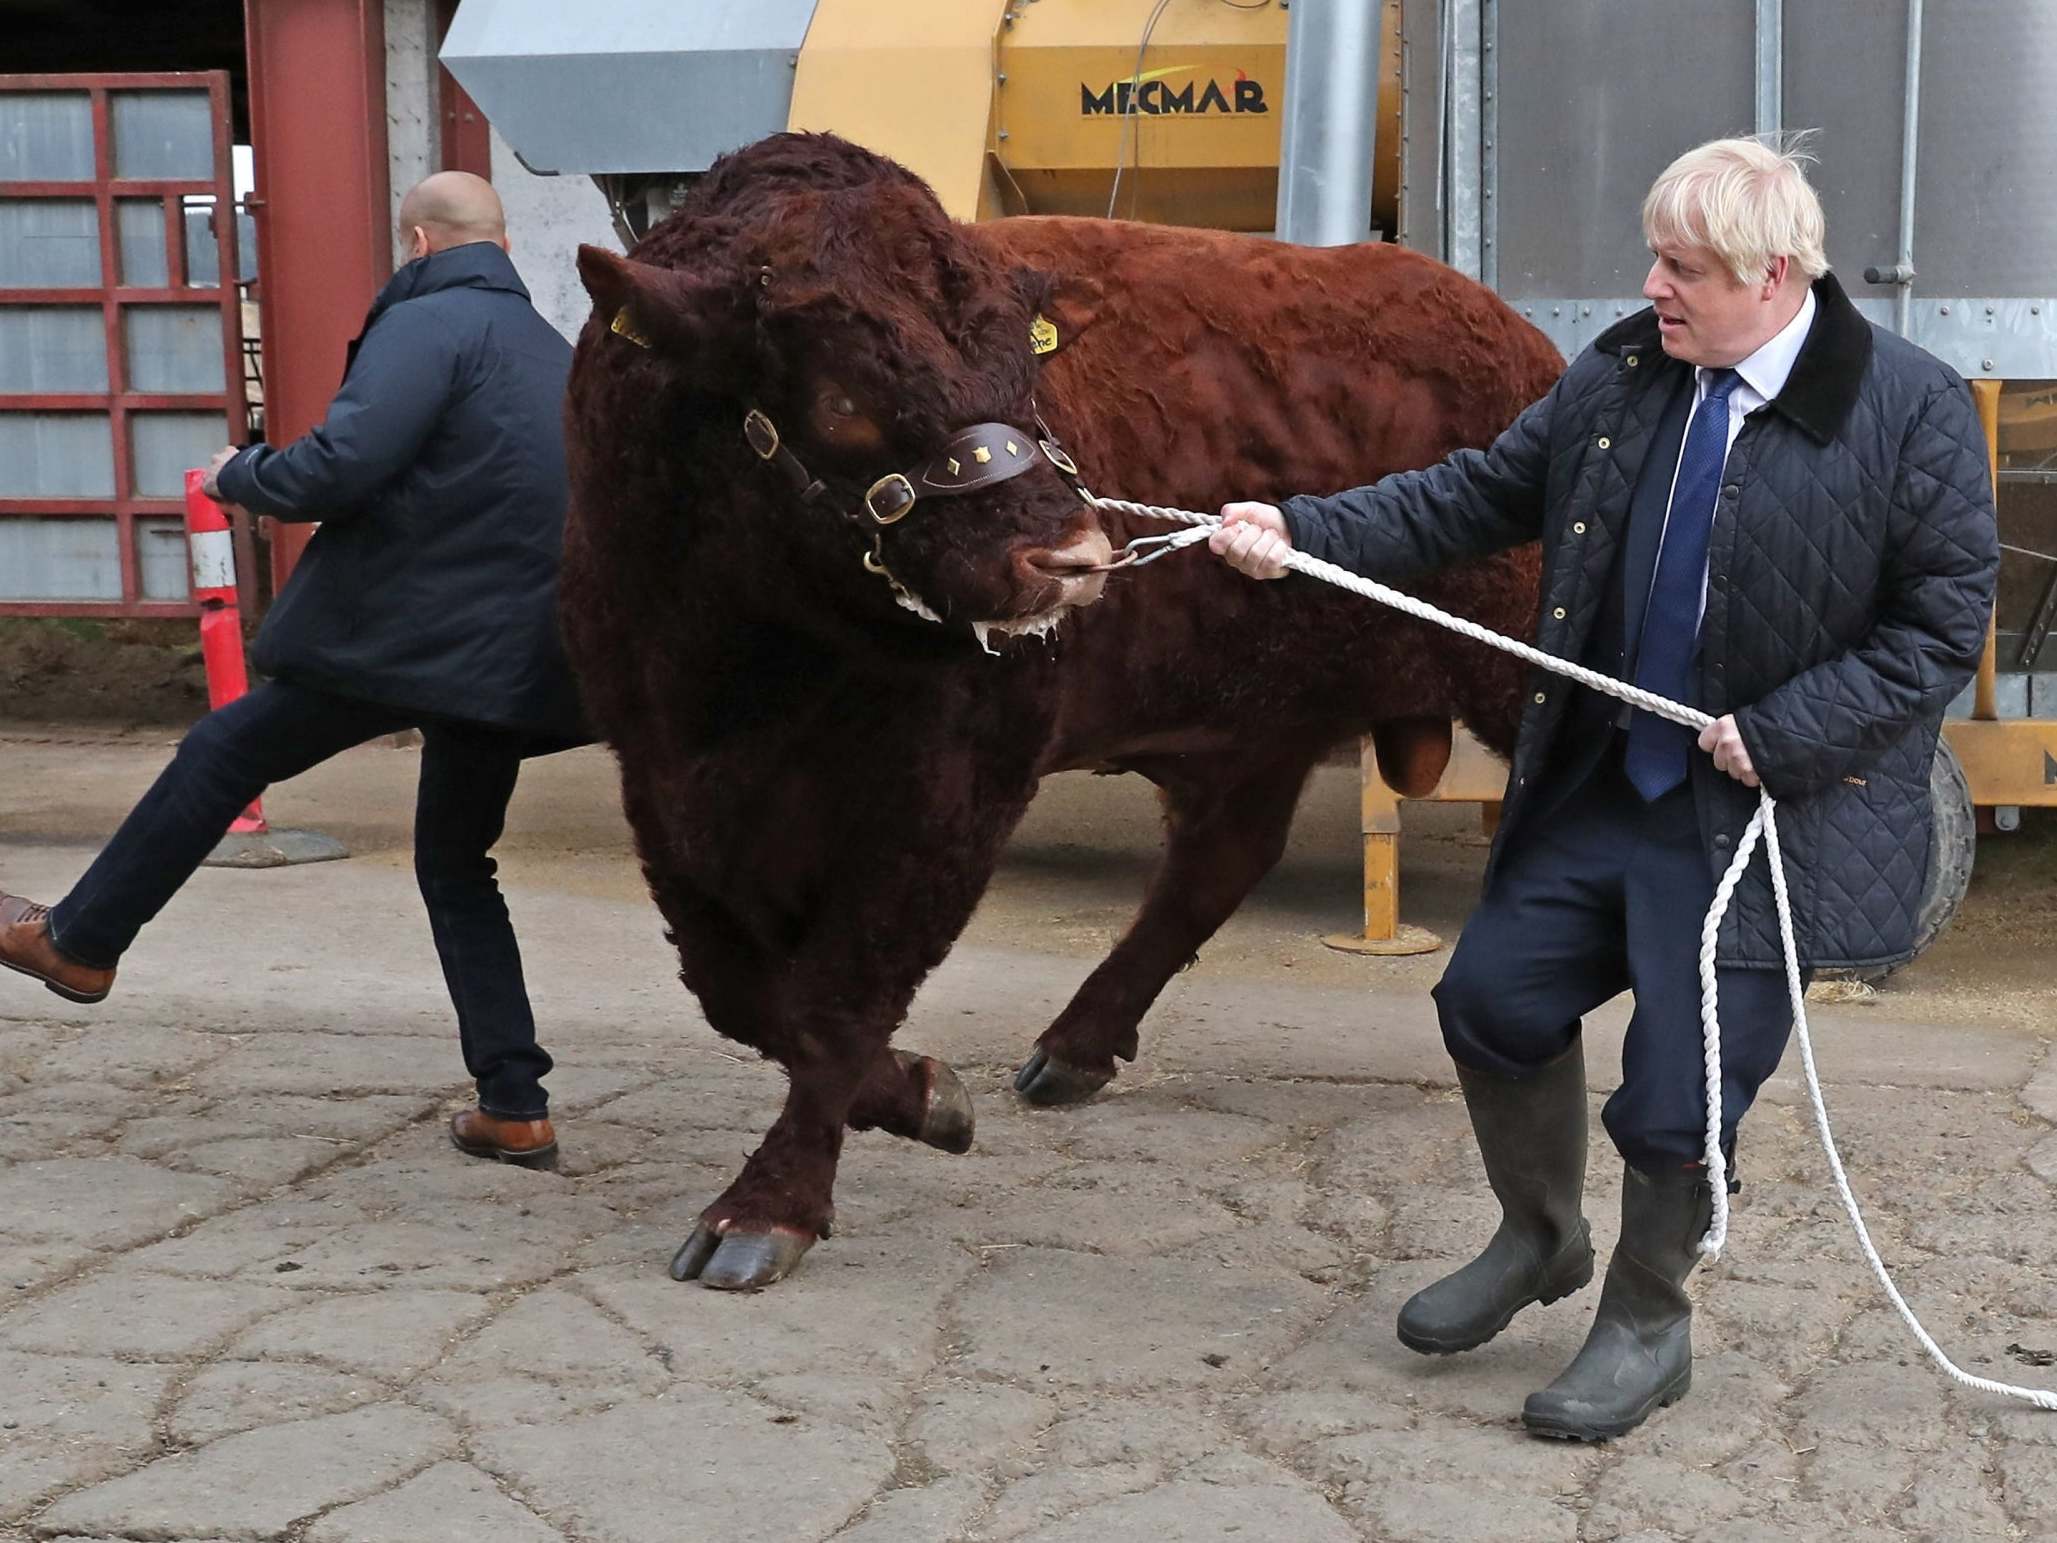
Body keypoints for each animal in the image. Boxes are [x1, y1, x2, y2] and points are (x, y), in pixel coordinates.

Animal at [563, 132, 1555, 1292]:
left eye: (1022, 366)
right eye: (842, 395)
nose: (1073, 557)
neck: (745, 661)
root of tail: (1513, 336)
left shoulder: (953, 790)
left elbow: (836, 997)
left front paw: (769, 1208)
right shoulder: (662, 779)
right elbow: (742, 991)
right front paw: (921, 1093)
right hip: (1257, 722)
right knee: (1217, 863)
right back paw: (1075, 1047)